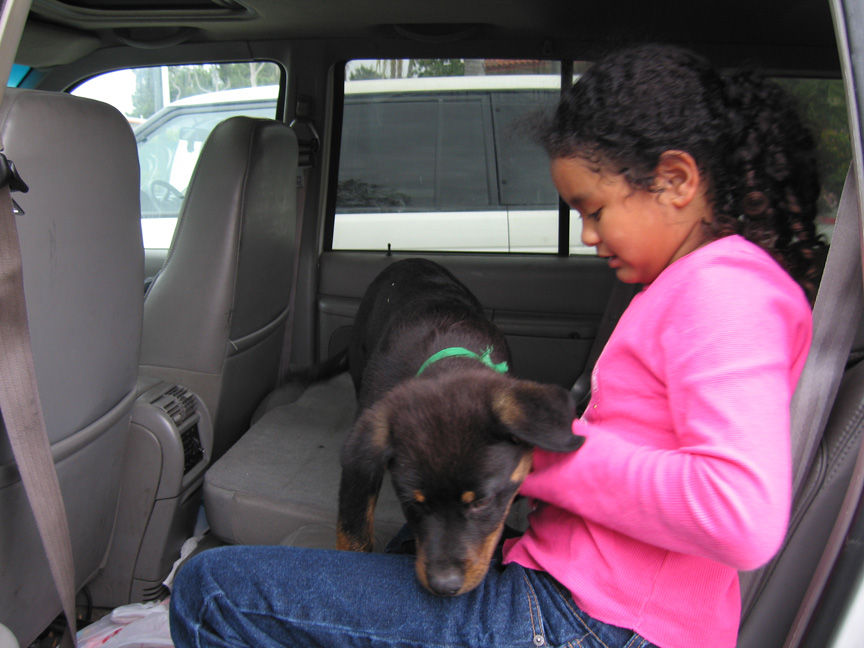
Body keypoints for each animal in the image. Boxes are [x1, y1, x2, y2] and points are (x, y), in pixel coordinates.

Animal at [334, 258, 584, 596]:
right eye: (412, 504)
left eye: (482, 501)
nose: (444, 586)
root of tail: (408, 259)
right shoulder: (361, 462)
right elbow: (353, 536)